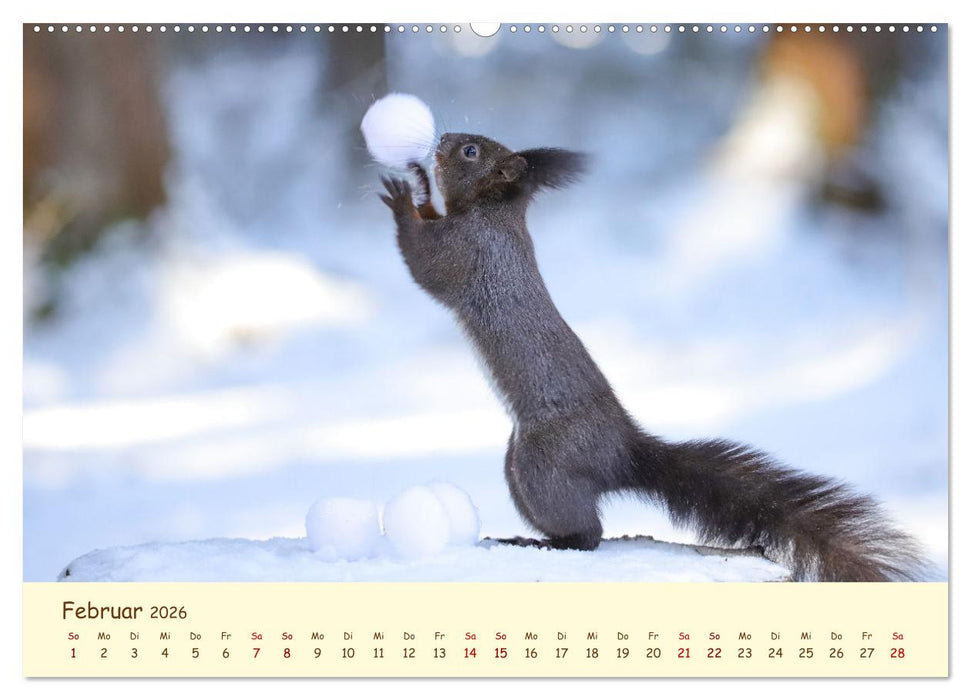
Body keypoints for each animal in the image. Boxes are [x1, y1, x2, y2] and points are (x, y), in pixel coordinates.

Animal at [379, 132, 926, 582]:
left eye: (471, 151)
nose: (442, 140)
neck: (494, 211)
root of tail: (624, 452)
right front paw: (418, 187)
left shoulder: (470, 252)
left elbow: (427, 265)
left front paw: (403, 197)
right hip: (520, 464)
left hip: (544, 462)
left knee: (588, 534)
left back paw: (543, 542)